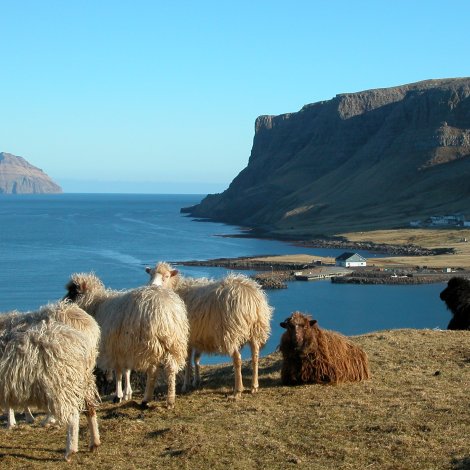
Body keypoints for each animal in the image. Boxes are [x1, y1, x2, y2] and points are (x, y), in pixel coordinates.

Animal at [0, 306, 100, 460]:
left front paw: (12, 423)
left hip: (60, 384)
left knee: (72, 416)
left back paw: (70, 450)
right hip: (81, 379)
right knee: (89, 408)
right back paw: (94, 443)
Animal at [63, 272, 189, 408]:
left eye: (72, 292)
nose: (63, 302)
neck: (97, 305)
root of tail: (168, 312)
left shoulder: (114, 348)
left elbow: (118, 372)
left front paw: (118, 396)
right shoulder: (125, 347)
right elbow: (126, 371)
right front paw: (127, 394)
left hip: (152, 342)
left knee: (153, 371)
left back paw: (148, 399)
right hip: (173, 343)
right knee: (170, 369)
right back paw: (168, 400)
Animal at [146, 262, 272, 398]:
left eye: (167, 276)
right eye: (151, 274)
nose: (153, 286)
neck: (177, 289)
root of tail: (251, 297)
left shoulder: (186, 337)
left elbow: (188, 361)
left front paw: (186, 385)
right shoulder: (197, 337)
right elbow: (196, 359)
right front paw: (196, 381)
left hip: (231, 332)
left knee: (237, 359)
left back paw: (238, 391)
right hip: (256, 330)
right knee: (255, 356)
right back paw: (254, 386)